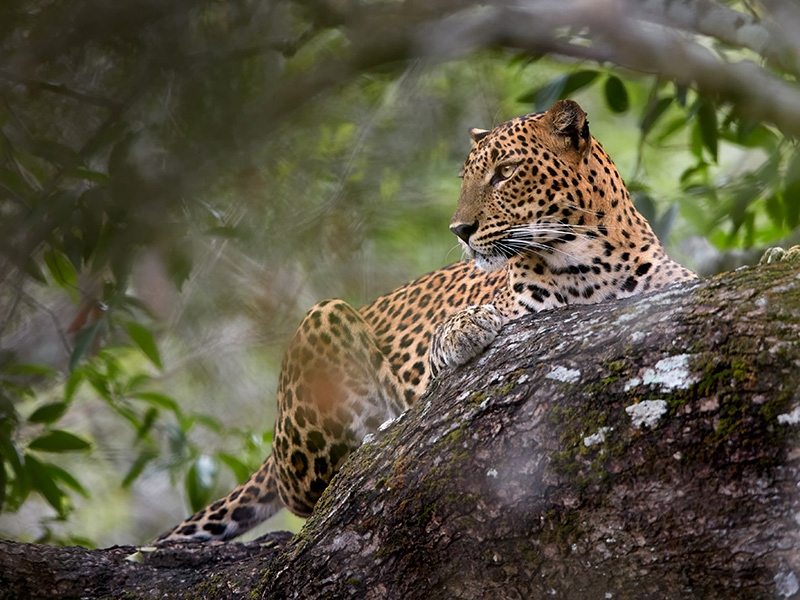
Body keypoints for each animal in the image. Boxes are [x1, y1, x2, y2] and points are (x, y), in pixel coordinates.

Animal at [153, 99, 696, 544]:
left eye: (505, 172)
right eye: (466, 179)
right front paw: (464, 328)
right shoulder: (434, 375)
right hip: (323, 317)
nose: (460, 229)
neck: (588, 261)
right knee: (311, 491)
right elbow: (456, 336)